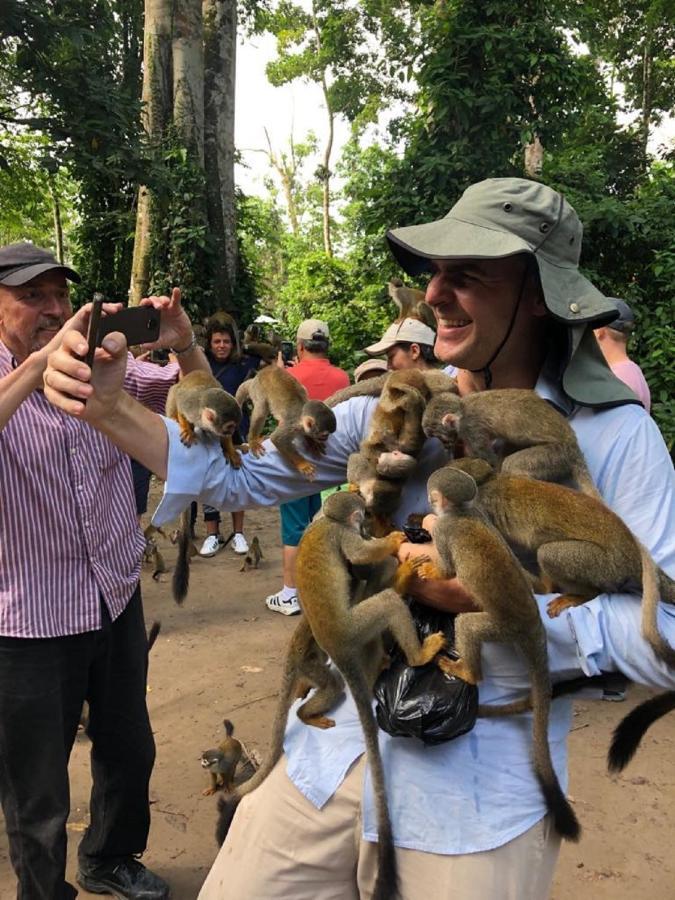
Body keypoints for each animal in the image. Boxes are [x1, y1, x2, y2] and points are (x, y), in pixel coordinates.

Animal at [164, 372, 243, 604]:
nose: (232, 432)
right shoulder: (189, 406)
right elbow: (181, 408)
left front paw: (230, 450)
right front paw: (185, 427)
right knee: (173, 394)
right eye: (229, 426)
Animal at [422, 386, 604, 500]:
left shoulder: (471, 428)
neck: (462, 409)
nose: (445, 446)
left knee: (514, 466)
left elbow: (487, 458)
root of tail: (572, 443)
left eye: (441, 438)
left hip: (557, 454)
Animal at [422, 468, 580, 840]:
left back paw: (468, 671)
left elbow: (447, 571)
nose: (426, 500)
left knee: (468, 625)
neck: (463, 512)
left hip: (501, 628)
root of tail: (531, 623)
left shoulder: (445, 530)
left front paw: (432, 570)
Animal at [452, 458, 675, 668]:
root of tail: (633, 553)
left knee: (547, 553)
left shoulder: (480, 511)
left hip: (607, 565)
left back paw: (580, 594)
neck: (490, 481)